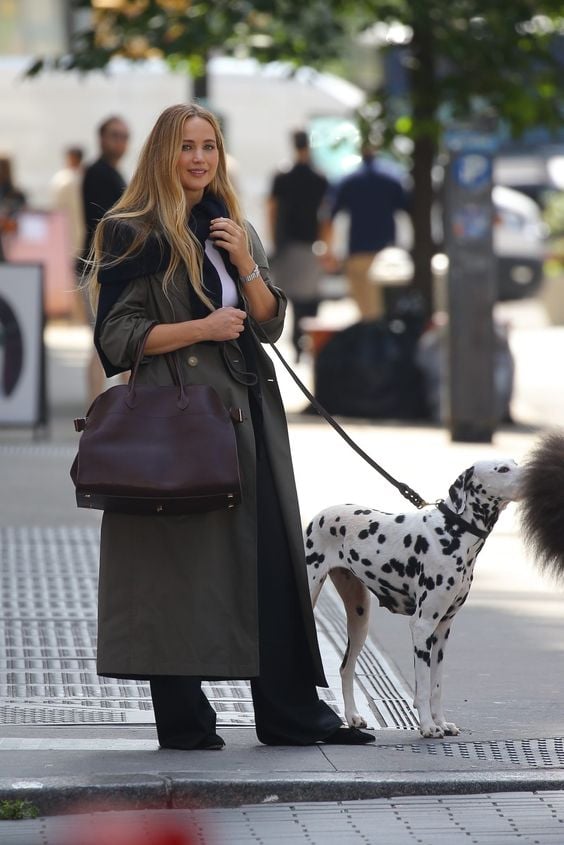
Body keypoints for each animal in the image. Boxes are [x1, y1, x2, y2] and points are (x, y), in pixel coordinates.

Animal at [306, 458, 524, 736]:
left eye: (515, 463)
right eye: (503, 469)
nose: (530, 475)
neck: (455, 531)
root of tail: (319, 515)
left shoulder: (442, 630)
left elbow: (436, 687)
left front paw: (441, 722)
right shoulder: (422, 626)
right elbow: (421, 687)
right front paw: (428, 726)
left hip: (359, 618)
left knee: (346, 667)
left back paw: (353, 716)